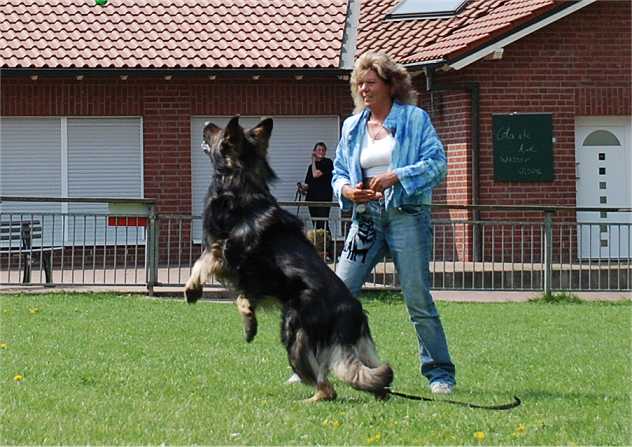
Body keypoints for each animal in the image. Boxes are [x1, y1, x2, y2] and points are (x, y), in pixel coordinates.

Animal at [184, 116, 393, 402]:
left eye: (221, 133)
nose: (206, 122)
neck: (240, 178)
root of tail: (352, 313)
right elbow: (238, 293)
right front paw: (248, 321)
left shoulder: (227, 251)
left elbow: (203, 262)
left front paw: (192, 290)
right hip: (356, 347)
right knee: (377, 381)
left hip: (293, 331)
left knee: (328, 388)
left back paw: (308, 400)